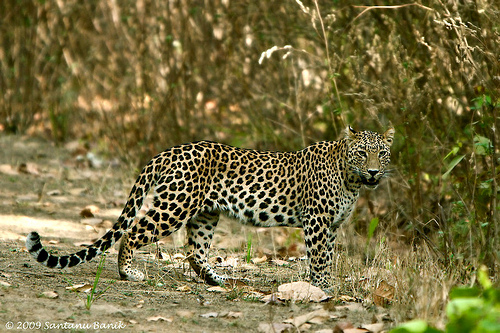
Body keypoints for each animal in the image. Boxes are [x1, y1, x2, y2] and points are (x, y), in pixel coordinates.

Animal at [26, 126, 394, 290]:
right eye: (363, 153)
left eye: (382, 153)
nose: (374, 171)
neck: (351, 179)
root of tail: (168, 151)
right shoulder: (317, 220)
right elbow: (319, 258)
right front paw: (322, 289)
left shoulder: (332, 225)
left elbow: (327, 256)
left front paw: (325, 286)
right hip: (175, 205)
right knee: (133, 232)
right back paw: (128, 273)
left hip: (205, 213)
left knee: (195, 252)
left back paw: (217, 278)